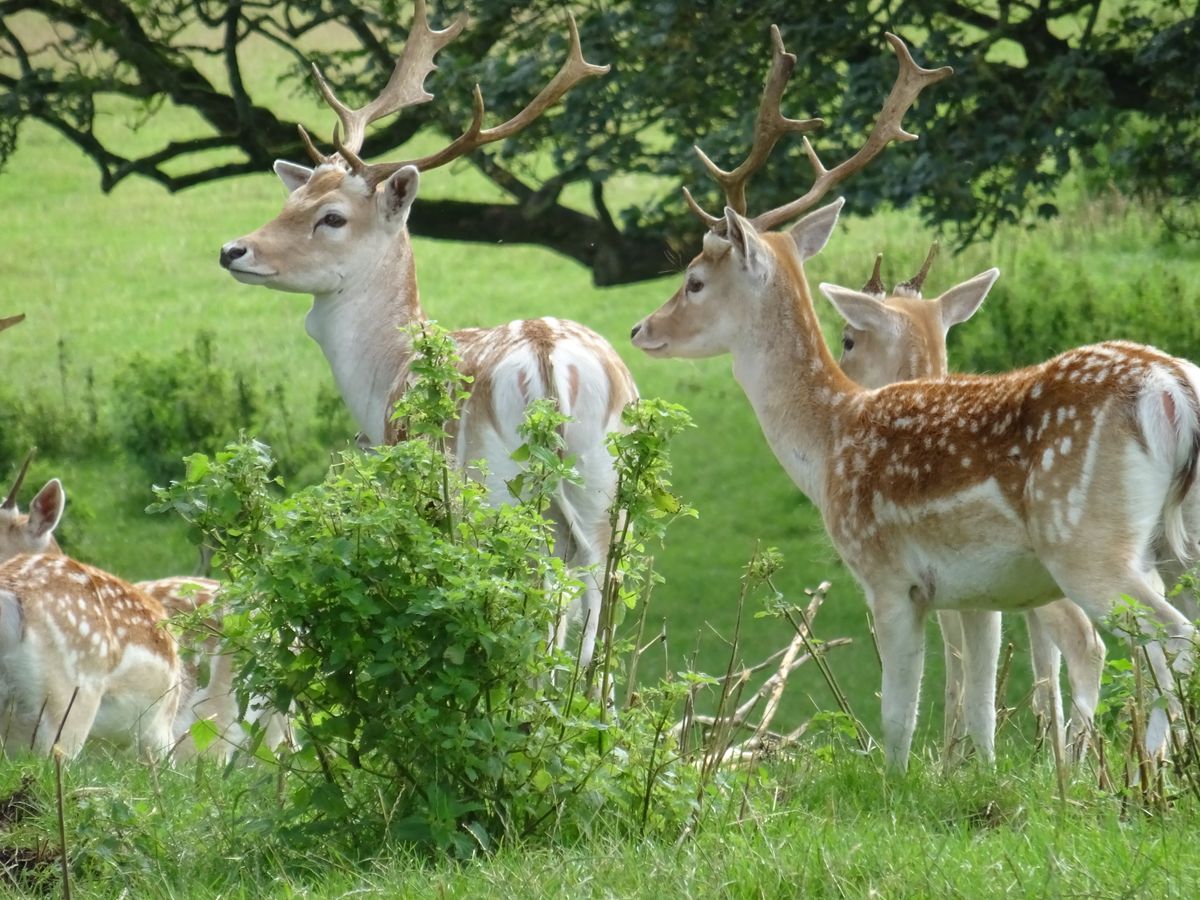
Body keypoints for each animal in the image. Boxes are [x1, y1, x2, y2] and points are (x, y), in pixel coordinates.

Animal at [220, 0, 643, 672]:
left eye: (332, 217)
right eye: (294, 198)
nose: (233, 250)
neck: (385, 371)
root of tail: (549, 360)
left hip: (494, 489)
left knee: (539, 595)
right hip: (605, 481)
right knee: (600, 592)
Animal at [825, 248, 1104, 763]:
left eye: (848, 338)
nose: (843, 380)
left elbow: (958, 663)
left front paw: (950, 760)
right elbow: (1035, 670)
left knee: (1092, 643)